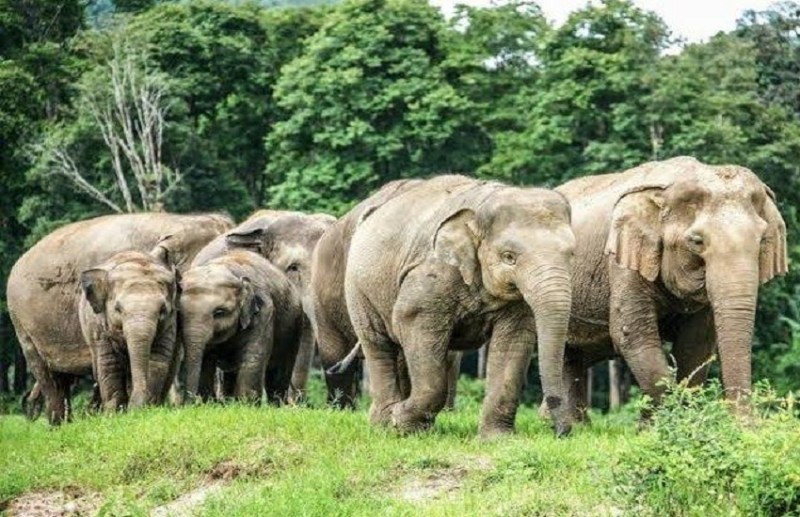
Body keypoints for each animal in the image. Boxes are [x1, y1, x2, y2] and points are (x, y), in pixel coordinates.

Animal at [78, 246, 179, 411]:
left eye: (163, 309)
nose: (134, 408)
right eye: (118, 309)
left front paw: (147, 408)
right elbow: (109, 365)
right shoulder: (98, 325)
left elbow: (156, 361)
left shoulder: (169, 324)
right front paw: (114, 412)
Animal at [179, 249, 303, 403]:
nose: (187, 404)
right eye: (179, 313)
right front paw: (210, 403)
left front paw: (246, 404)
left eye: (219, 312)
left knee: (279, 373)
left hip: (294, 326)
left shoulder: (263, 312)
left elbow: (253, 359)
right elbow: (205, 360)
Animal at [342, 174, 576, 437]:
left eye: (572, 254)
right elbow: (410, 320)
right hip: (358, 288)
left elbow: (514, 340)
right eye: (509, 257)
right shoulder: (431, 276)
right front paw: (400, 421)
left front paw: (497, 439)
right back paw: (384, 424)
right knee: (378, 345)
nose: (561, 432)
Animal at [551, 156, 787, 420]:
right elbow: (633, 335)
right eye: (697, 241)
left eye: (762, 241)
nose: (744, 425)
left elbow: (695, 345)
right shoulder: (622, 260)